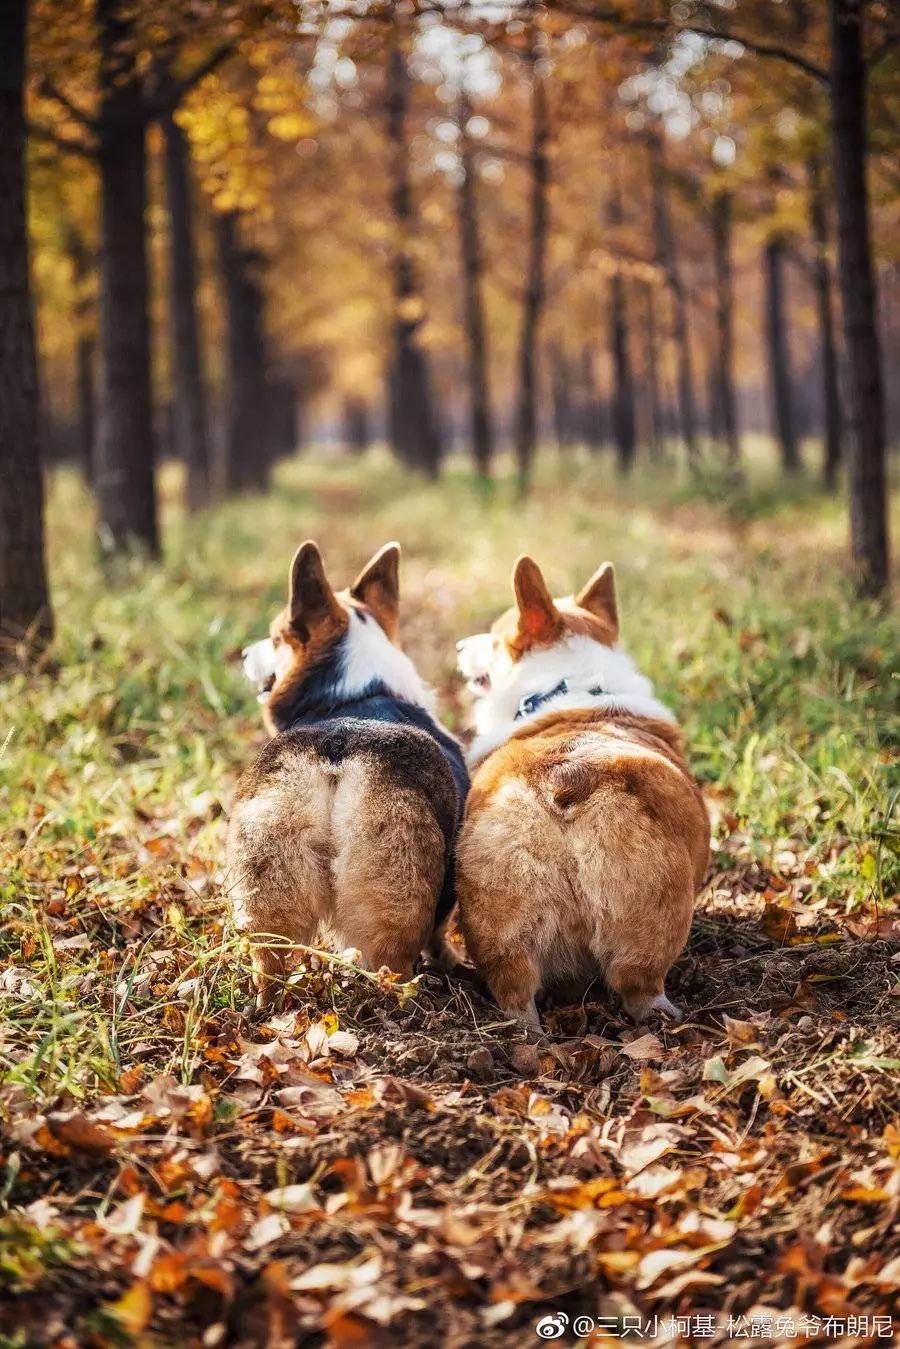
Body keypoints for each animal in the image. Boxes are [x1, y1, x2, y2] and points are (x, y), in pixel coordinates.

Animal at [229, 542, 469, 1009]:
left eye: (275, 637)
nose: (244, 654)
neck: (359, 693)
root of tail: (337, 751)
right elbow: (439, 929)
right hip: (395, 897)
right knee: (395, 968)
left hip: (266, 876)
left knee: (269, 961)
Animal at [458, 553, 712, 1025]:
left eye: (496, 638)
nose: (460, 646)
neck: (568, 681)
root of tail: (565, 778)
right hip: (654, 913)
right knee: (639, 986)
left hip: (500, 917)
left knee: (516, 990)